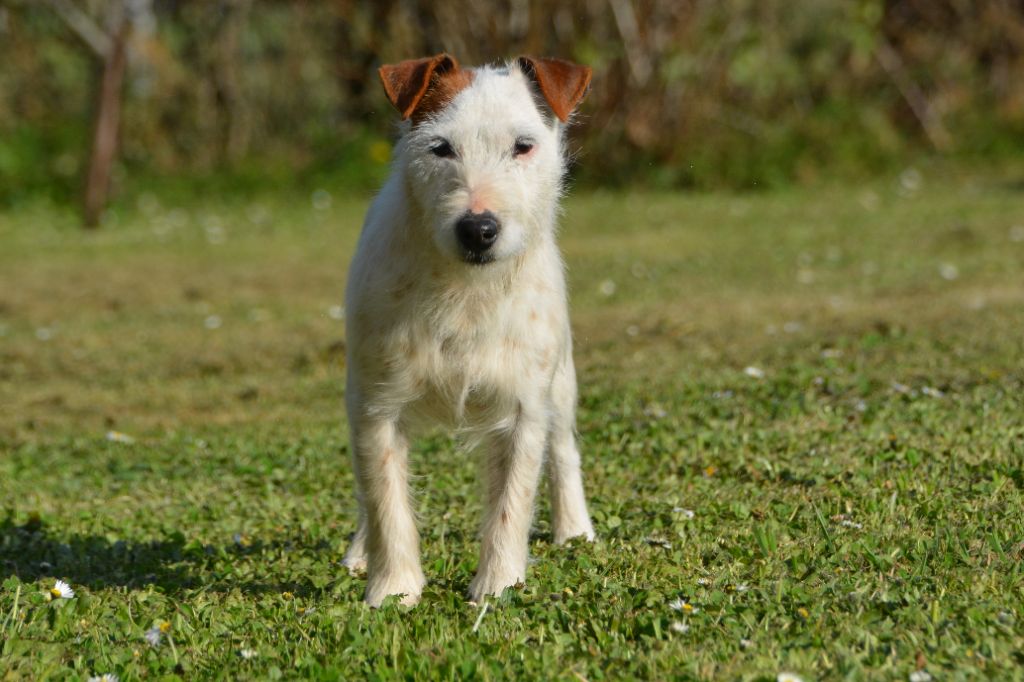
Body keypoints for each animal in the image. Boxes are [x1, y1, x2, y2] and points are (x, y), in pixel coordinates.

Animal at [344, 54, 598, 606]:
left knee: (563, 450)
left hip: (561, 382)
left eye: (523, 146)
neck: (466, 292)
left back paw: (574, 529)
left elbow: (511, 503)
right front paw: (393, 590)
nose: (478, 229)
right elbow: (385, 500)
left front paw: (497, 586)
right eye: (440, 147)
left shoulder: (525, 409)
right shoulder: (375, 407)